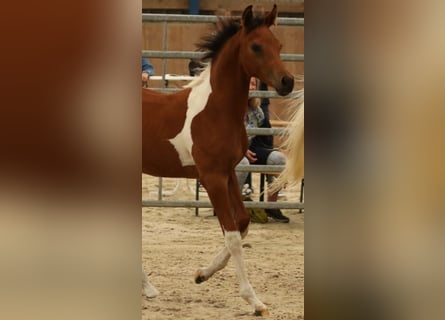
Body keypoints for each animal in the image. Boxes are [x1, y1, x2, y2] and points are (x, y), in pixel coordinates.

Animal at [143, 5, 294, 316]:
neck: (215, 110)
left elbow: (243, 222)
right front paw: (254, 301)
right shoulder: (211, 177)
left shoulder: (228, 173)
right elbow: (233, 235)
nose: (287, 82)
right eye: (256, 46)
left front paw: (202, 274)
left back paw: (147, 287)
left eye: (279, 45)